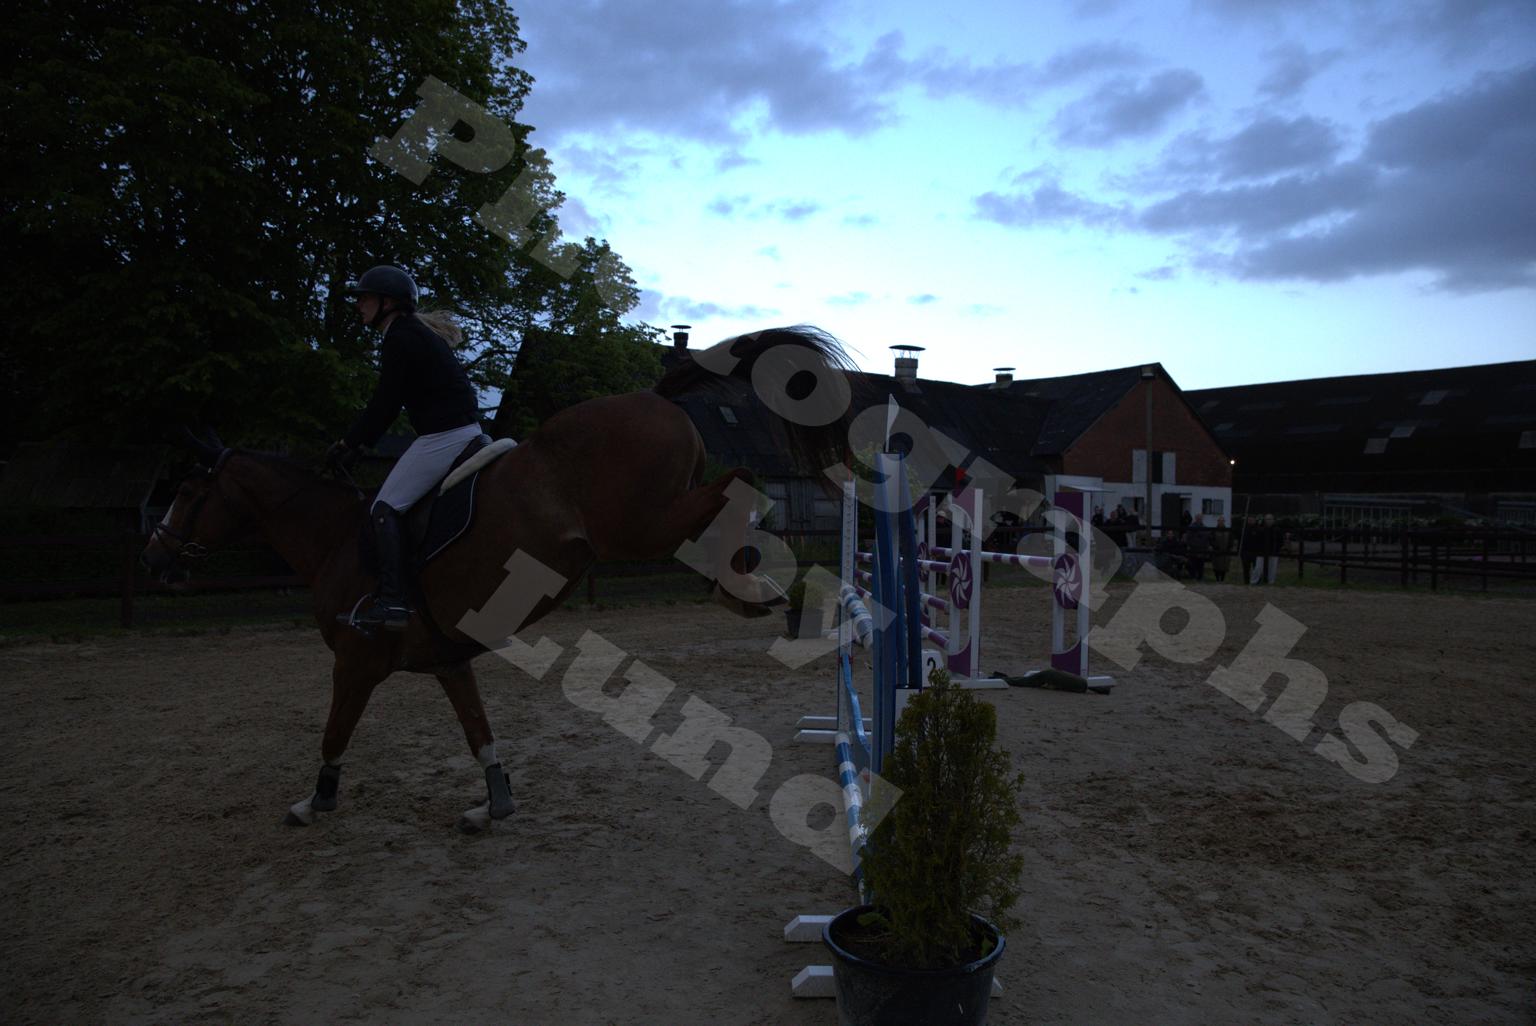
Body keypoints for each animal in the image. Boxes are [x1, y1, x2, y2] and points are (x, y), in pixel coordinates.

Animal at [141, 326, 856, 831]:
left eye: (188, 493)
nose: (153, 557)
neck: (336, 539)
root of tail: (652, 396)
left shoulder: (356, 660)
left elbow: (334, 732)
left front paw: (314, 802)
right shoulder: (447, 659)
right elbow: (477, 730)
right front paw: (494, 804)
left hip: (634, 525)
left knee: (739, 486)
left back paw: (746, 589)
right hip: (648, 523)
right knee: (730, 496)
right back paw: (746, 590)